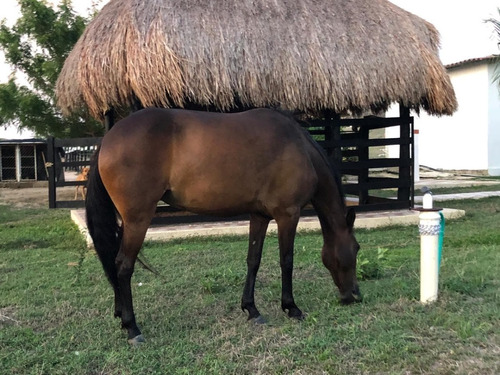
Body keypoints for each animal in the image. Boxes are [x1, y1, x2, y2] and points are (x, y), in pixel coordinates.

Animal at [85, 107, 360, 346]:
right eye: (356, 248)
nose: (355, 295)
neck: (299, 147)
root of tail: (109, 138)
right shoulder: (288, 214)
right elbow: (287, 261)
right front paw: (291, 307)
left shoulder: (259, 215)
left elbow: (254, 260)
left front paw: (251, 309)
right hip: (137, 220)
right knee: (123, 266)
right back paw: (132, 327)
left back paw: (121, 315)